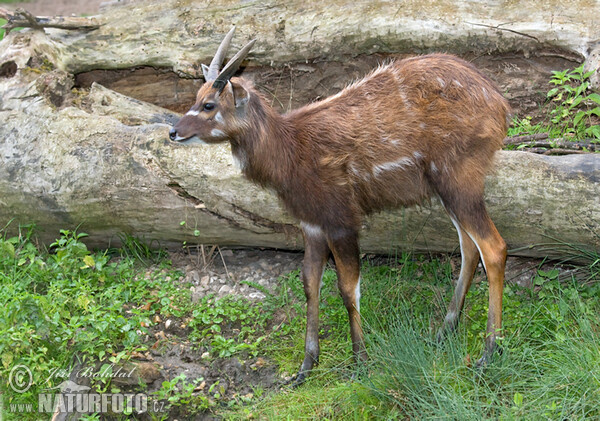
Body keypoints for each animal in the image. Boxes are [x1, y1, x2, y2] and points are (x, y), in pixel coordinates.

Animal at [170, 27, 510, 382]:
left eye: (208, 104)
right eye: (196, 98)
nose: (173, 132)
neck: (291, 151)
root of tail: (501, 106)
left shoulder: (341, 220)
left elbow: (348, 288)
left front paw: (361, 361)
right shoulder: (311, 224)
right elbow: (310, 283)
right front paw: (305, 366)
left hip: (458, 178)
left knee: (493, 247)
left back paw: (489, 352)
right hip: (448, 189)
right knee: (470, 248)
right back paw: (443, 332)